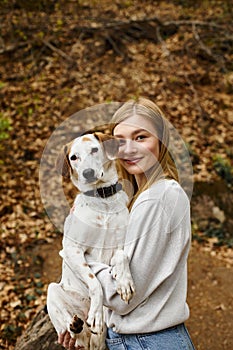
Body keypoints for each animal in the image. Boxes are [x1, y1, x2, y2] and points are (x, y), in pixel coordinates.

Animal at [46, 132, 135, 350]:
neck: (103, 201)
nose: (87, 173)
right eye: (73, 157)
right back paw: (76, 326)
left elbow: (121, 256)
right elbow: (94, 281)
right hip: (52, 290)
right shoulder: (71, 250)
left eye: (94, 150)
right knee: (73, 334)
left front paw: (124, 282)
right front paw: (95, 313)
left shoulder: (121, 243)